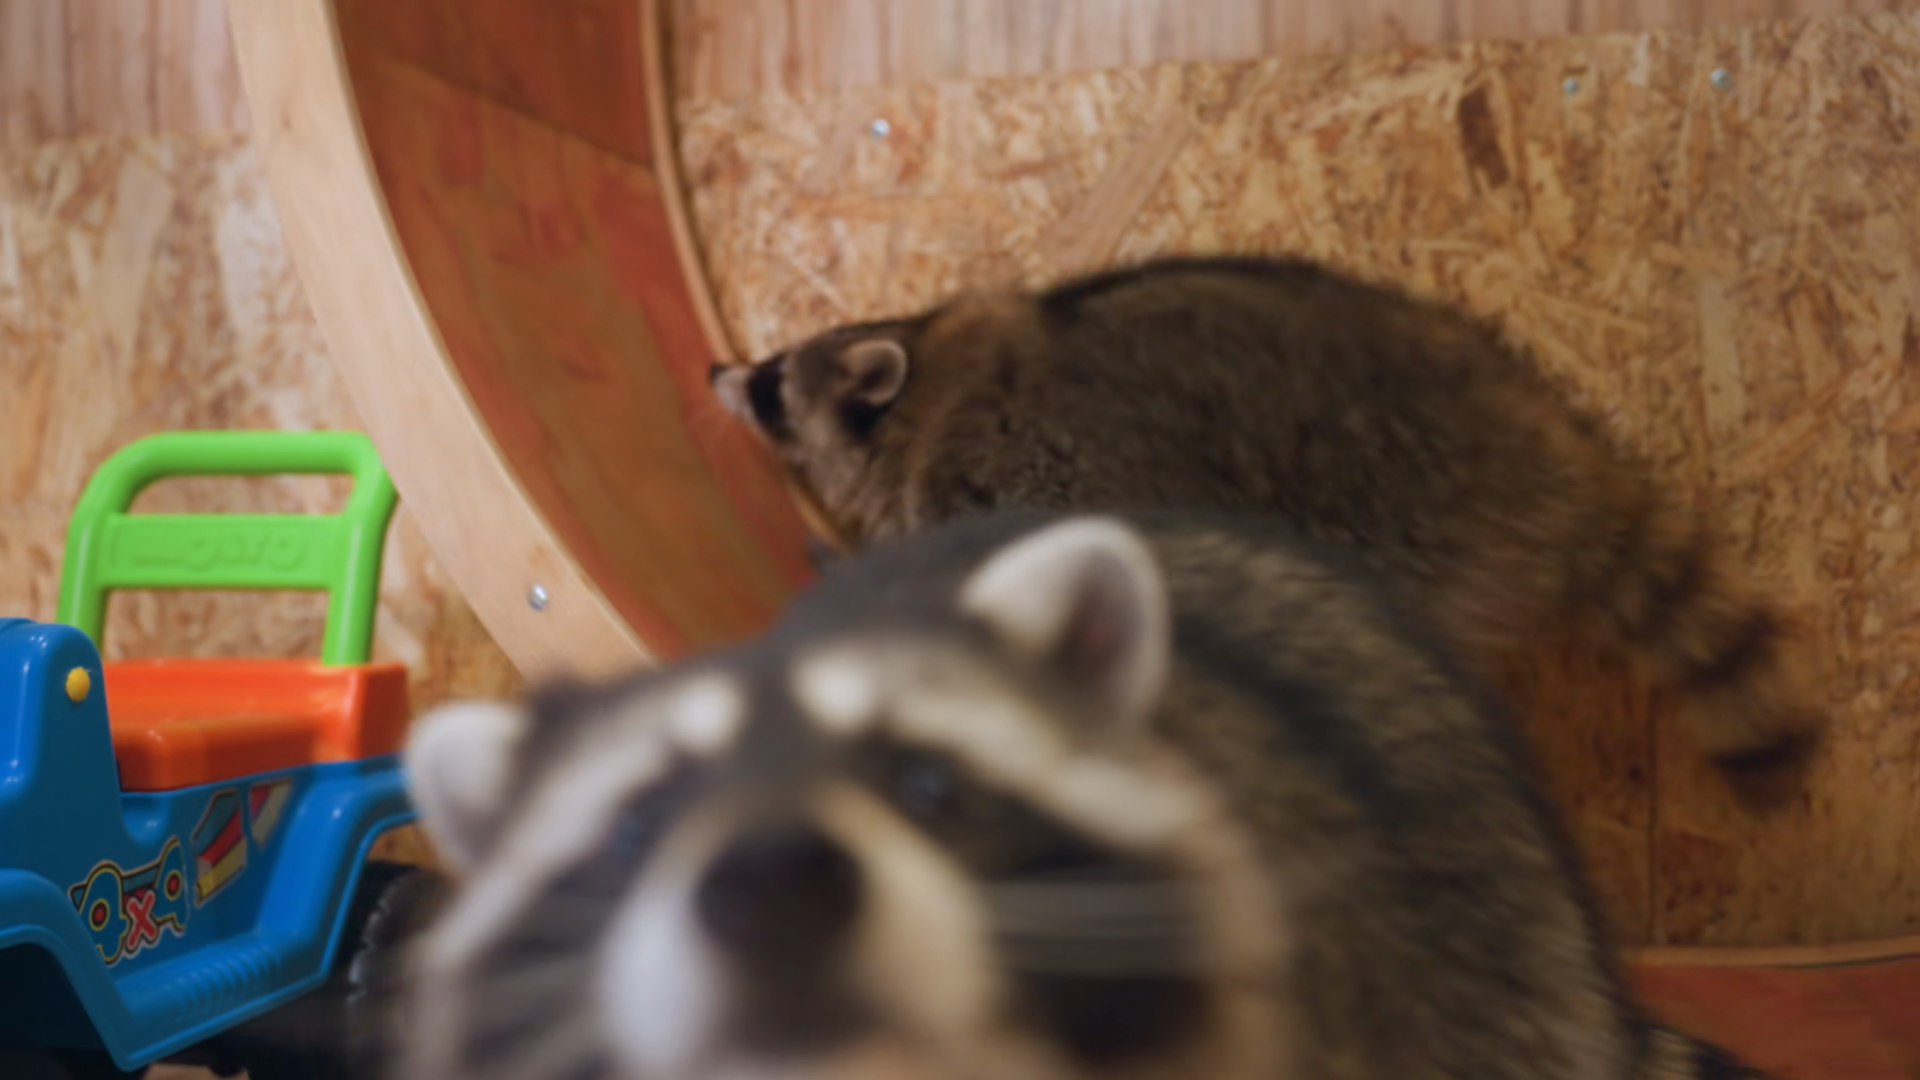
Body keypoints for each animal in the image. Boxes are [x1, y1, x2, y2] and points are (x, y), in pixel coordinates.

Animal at [708, 255, 1824, 808]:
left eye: (772, 387)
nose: (720, 370)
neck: (929, 383)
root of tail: (1517, 436)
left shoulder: (999, 478)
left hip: (1383, 512)